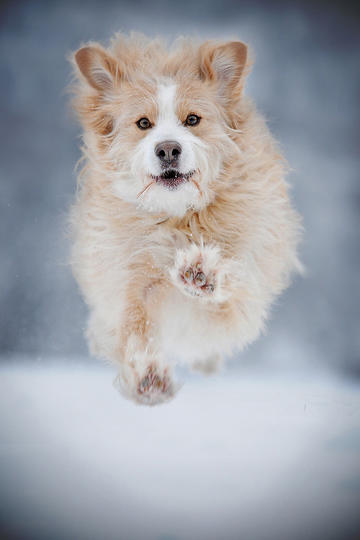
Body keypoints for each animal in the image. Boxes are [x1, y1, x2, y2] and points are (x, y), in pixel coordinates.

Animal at [69, 32, 302, 404]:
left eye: (192, 119)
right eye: (143, 123)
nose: (167, 149)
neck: (178, 217)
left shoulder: (241, 293)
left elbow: (233, 277)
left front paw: (201, 271)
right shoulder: (130, 281)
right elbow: (136, 325)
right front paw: (148, 375)